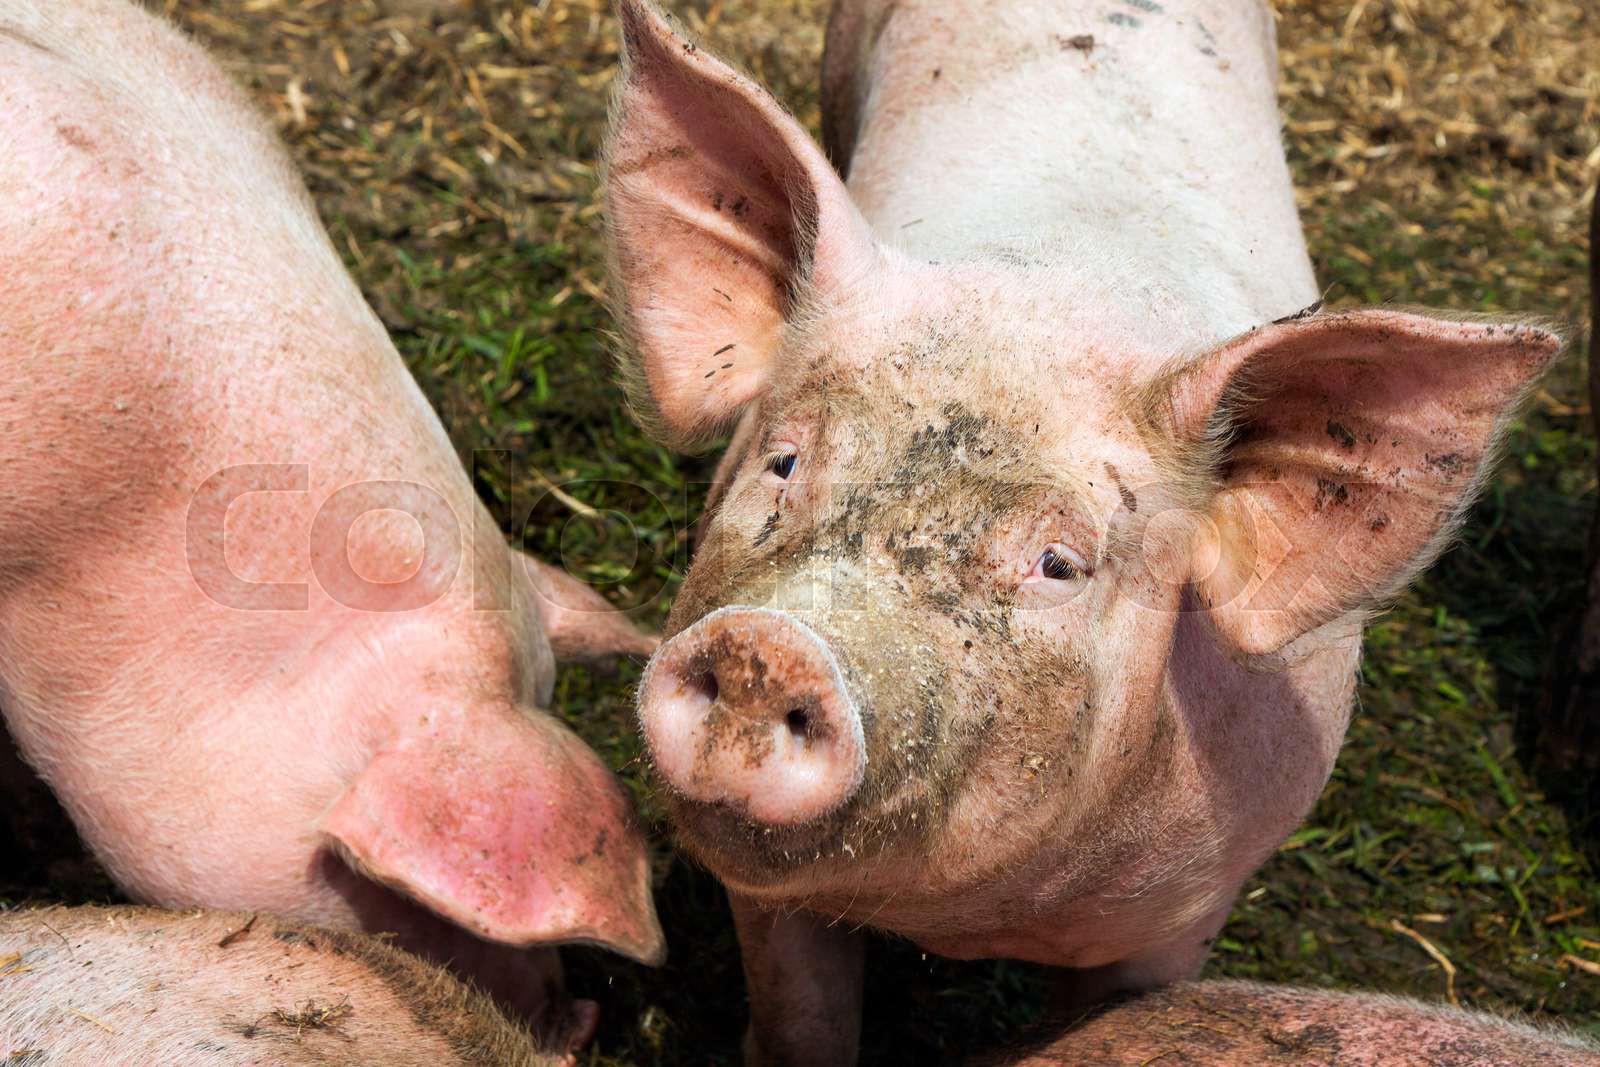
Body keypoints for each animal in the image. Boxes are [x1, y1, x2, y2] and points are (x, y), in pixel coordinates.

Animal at [606, 0, 1564, 1061]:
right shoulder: (767, 900)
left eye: (1059, 563)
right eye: (784, 462)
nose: (767, 648)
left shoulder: (1190, 905)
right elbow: (801, 1020)